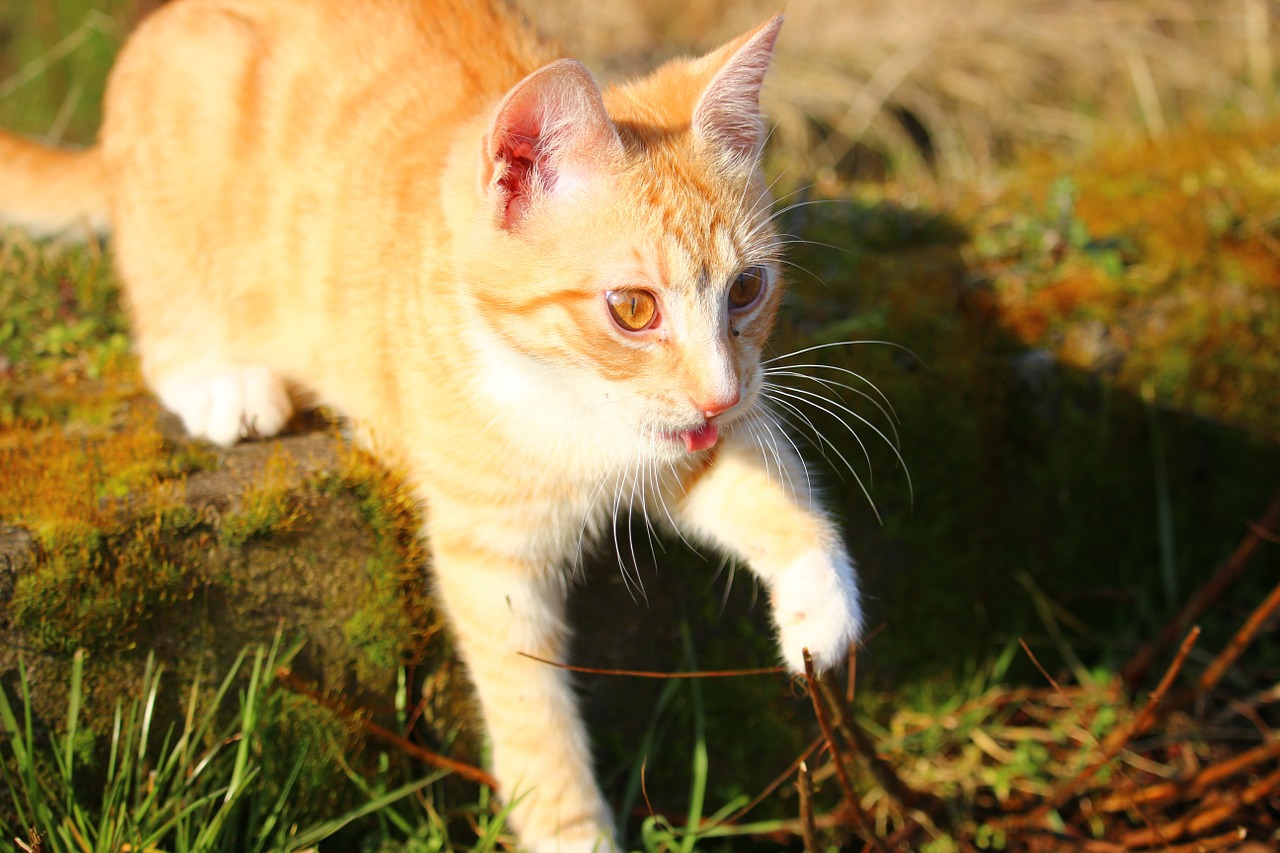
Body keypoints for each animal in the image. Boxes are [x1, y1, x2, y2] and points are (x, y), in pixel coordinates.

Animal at [0, 3, 865, 845]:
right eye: (632, 308)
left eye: (747, 289)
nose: (720, 395)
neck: (574, 404)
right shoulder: (493, 560)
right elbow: (531, 715)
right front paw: (570, 831)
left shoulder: (699, 433)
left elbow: (774, 490)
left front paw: (819, 608)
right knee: (161, 312)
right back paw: (220, 378)